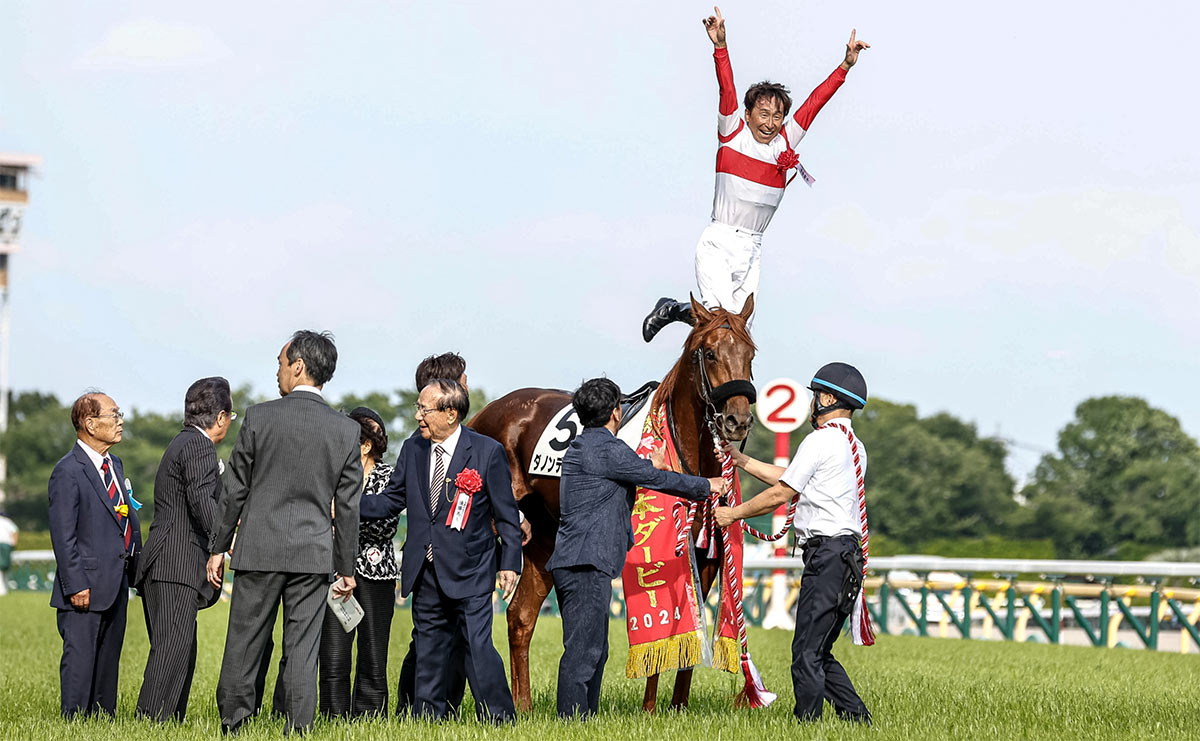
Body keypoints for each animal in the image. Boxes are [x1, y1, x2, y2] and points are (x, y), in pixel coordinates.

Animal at [465, 293, 753, 709]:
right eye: (711, 353)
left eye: (750, 353)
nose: (737, 420)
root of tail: (486, 413)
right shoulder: (654, 552)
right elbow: (659, 626)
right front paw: (650, 709)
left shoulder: (708, 558)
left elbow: (690, 626)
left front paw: (678, 706)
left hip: (546, 538)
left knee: (521, 616)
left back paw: (523, 705)